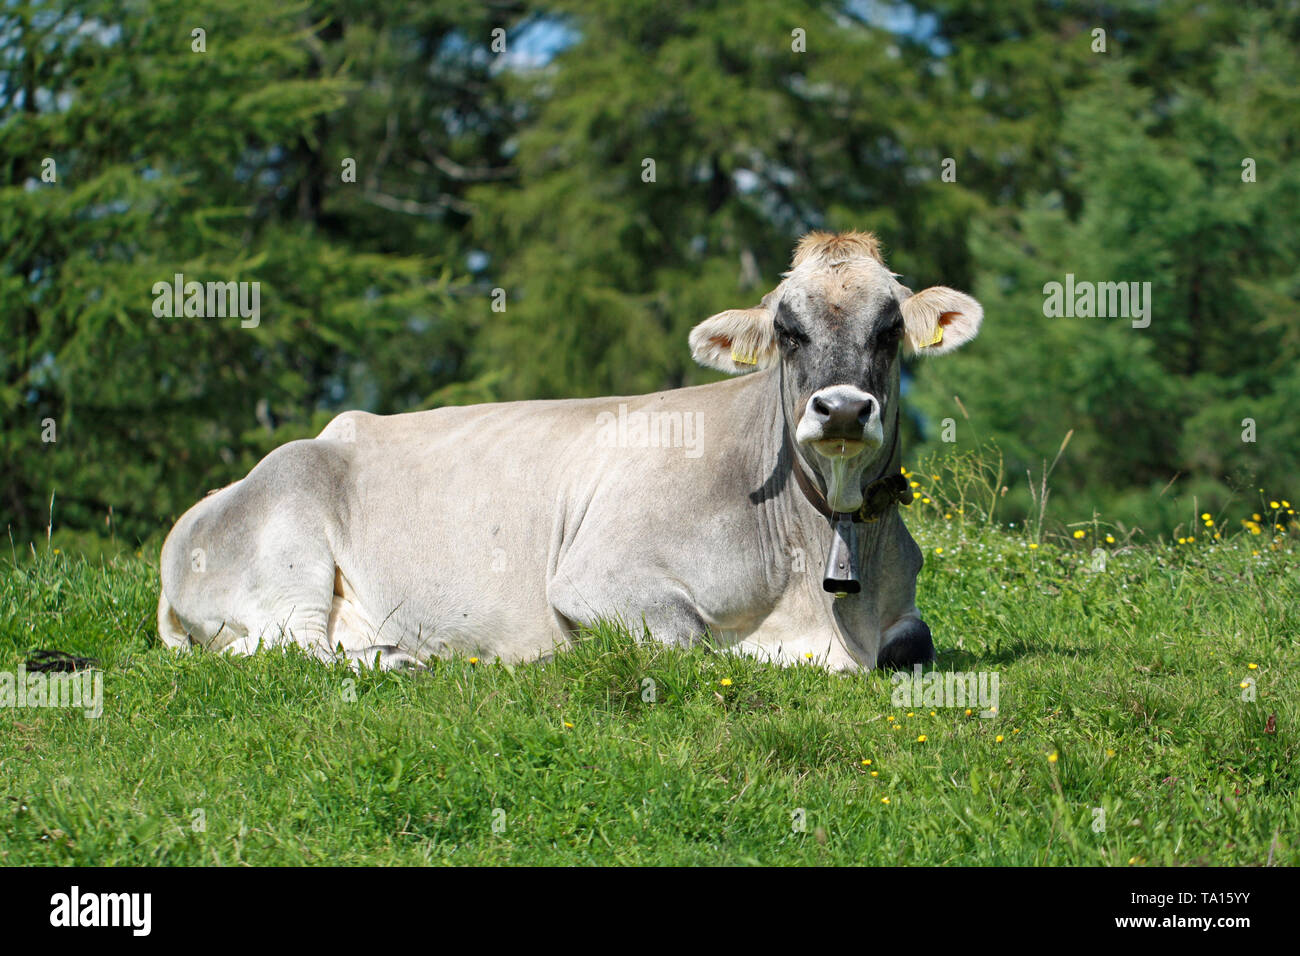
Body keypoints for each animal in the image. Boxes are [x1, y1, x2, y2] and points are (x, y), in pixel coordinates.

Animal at [157, 231, 982, 672]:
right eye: (787, 330)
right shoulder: (598, 574)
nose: (842, 408)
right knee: (284, 650)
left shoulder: (903, 616)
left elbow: (916, 643)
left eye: (889, 330)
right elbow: (694, 642)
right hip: (287, 553)